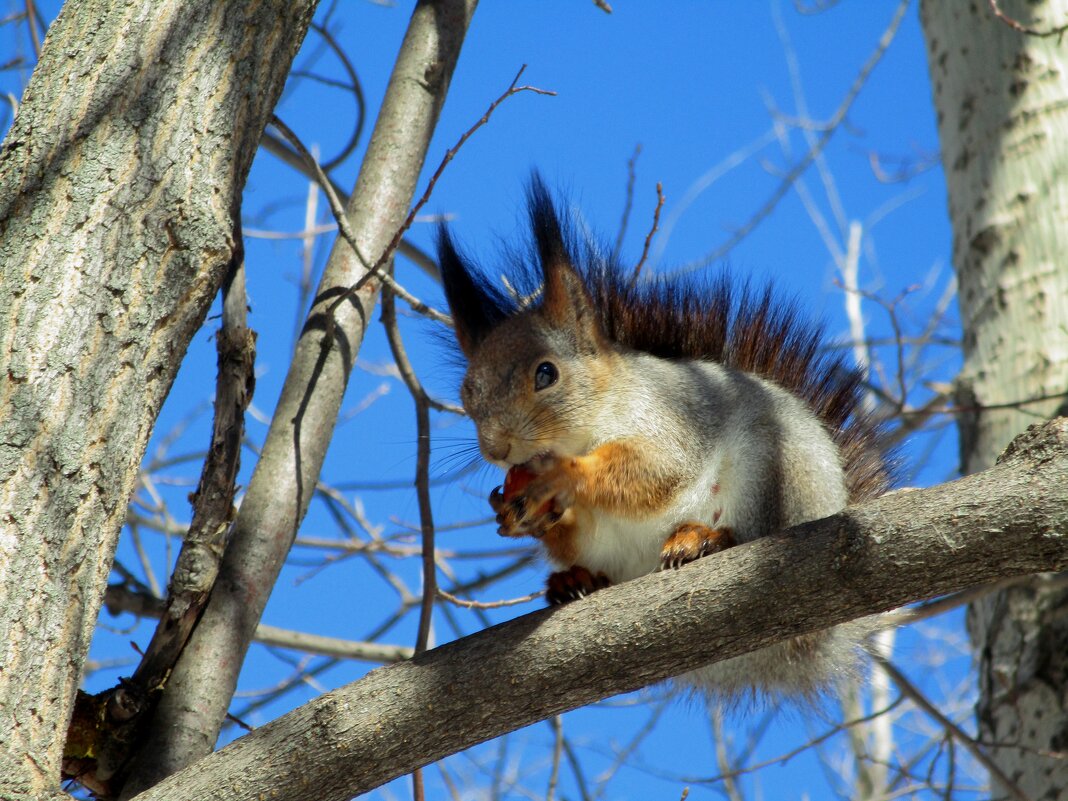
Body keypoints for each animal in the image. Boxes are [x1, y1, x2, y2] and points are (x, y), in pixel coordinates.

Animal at [437, 178, 888, 700]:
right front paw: (520, 513)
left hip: (776, 471)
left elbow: (656, 469)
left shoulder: (671, 418)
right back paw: (574, 581)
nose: (496, 449)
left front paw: (564, 477)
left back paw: (705, 539)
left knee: (755, 531)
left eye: (546, 373)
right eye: (466, 393)